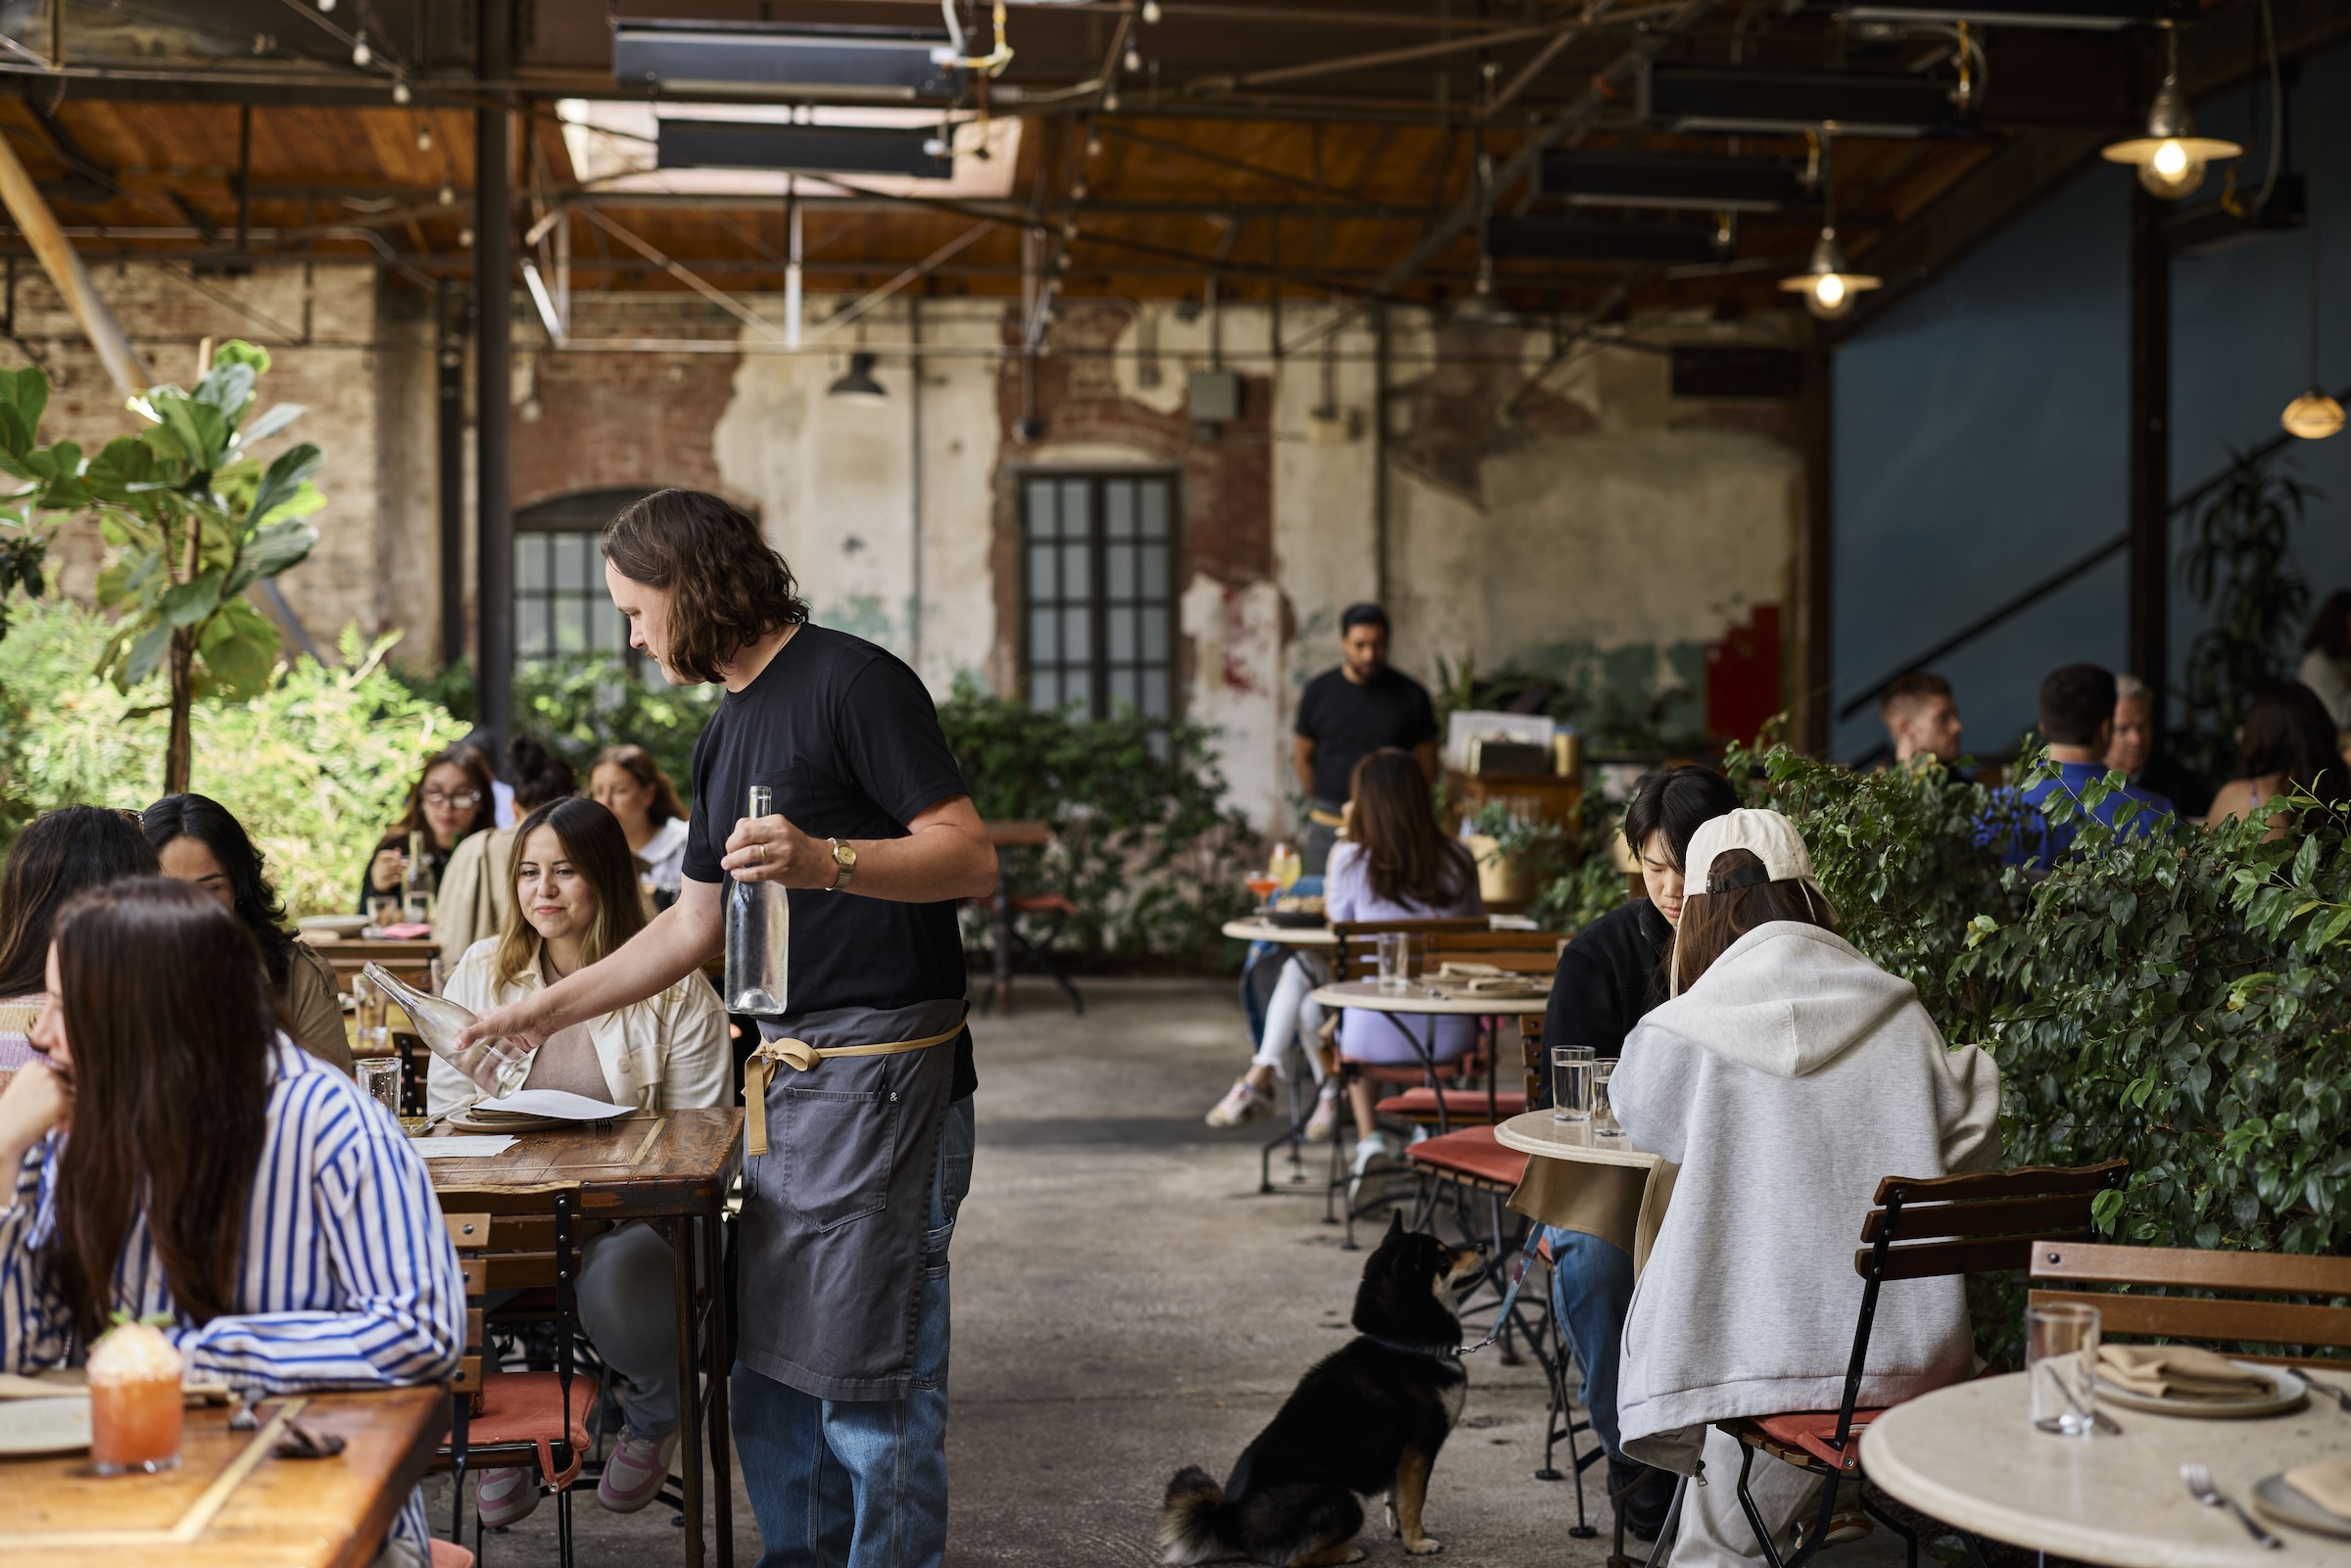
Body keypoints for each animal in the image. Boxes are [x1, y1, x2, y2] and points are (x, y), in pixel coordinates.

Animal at [1161, 1212, 1476, 1568]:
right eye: (1444, 1259)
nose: (1483, 1245)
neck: (1405, 1345)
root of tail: (1230, 1519)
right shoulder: (1419, 1447)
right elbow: (1414, 1502)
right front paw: (1417, 1543)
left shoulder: (1402, 1457)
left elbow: (1396, 1498)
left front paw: (1401, 1532)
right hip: (1342, 1498)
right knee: (1296, 1559)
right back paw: (1347, 1552)